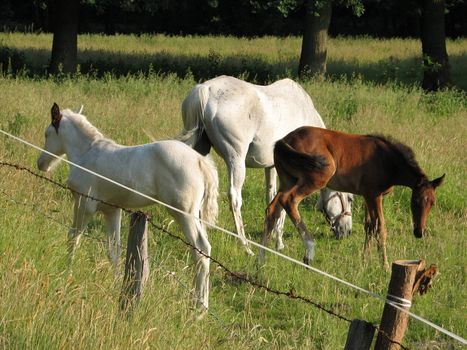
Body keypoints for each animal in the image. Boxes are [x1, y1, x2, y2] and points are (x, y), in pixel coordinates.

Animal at [37, 102, 218, 308]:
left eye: (47, 133)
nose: (41, 164)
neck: (87, 153)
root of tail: (199, 160)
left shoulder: (84, 205)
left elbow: (73, 238)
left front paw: (67, 272)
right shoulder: (112, 210)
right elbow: (114, 250)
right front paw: (116, 284)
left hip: (184, 213)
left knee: (201, 249)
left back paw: (199, 306)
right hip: (196, 214)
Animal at [180, 76, 354, 258]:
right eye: (350, 199)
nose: (347, 231)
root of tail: (205, 90)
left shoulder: (271, 168)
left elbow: (272, 198)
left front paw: (274, 240)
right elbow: (284, 205)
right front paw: (279, 243)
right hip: (236, 160)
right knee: (235, 198)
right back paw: (246, 247)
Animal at [264, 126, 446, 268]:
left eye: (432, 204)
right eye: (414, 202)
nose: (419, 232)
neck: (387, 161)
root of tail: (284, 140)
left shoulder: (367, 196)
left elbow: (369, 226)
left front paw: (365, 260)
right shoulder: (375, 196)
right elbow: (381, 228)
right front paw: (385, 266)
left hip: (287, 180)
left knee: (272, 209)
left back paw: (262, 259)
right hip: (316, 178)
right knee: (289, 200)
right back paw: (309, 251)